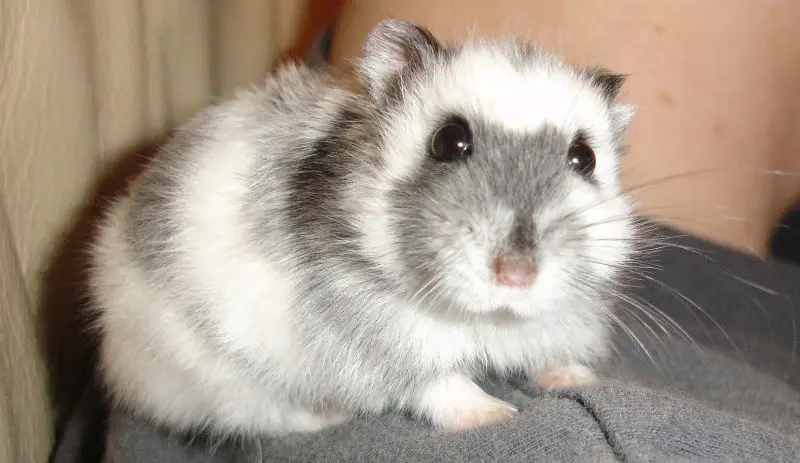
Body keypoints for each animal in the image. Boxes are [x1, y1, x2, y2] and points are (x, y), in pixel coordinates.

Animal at [88, 19, 637, 438]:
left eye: (583, 158)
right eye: (448, 141)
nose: (517, 274)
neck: (487, 317)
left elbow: (550, 351)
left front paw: (579, 380)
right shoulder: (379, 344)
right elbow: (439, 383)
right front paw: (495, 415)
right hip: (217, 383)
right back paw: (331, 416)